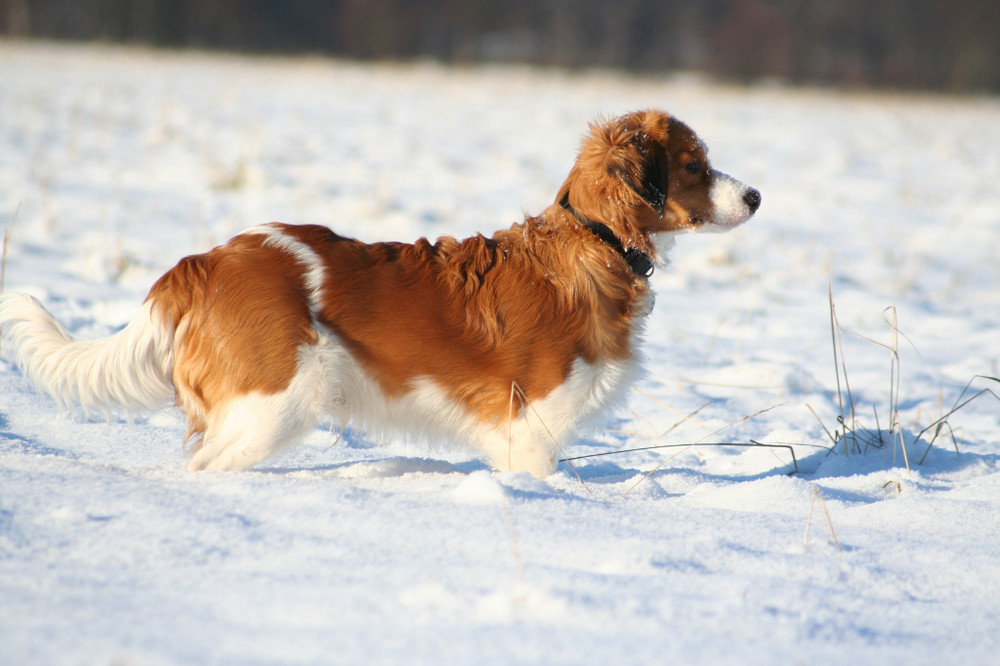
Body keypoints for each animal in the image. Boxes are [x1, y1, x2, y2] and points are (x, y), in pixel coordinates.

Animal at [0, 109, 756, 474]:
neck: (594, 241)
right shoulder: (531, 436)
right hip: (276, 404)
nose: (754, 195)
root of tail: (209, 260)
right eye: (694, 165)